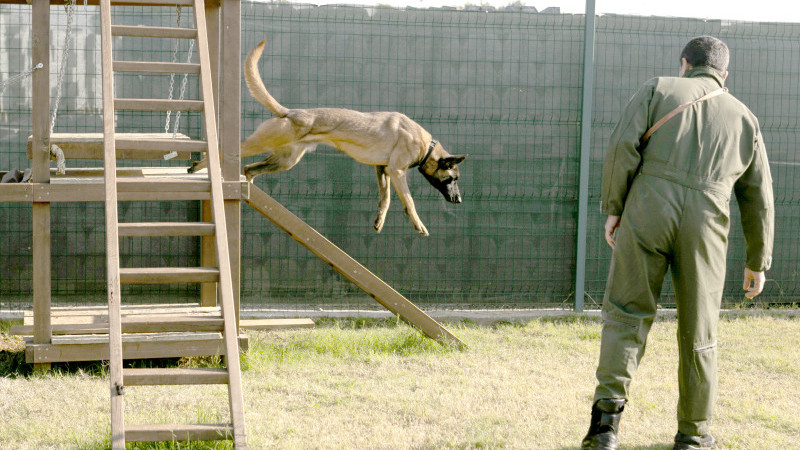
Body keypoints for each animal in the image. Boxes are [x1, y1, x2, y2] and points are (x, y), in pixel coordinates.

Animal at [192, 40, 468, 237]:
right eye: (453, 178)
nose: (459, 200)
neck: (426, 145)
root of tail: (289, 112)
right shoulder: (396, 171)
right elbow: (409, 201)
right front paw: (419, 225)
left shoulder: (383, 170)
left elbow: (386, 199)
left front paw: (379, 221)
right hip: (261, 144)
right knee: (225, 152)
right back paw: (198, 166)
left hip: (284, 161)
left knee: (250, 168)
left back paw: (247, 188)